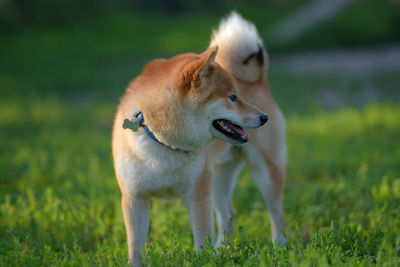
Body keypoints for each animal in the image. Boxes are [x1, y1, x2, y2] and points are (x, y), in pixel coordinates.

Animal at [112, 45, 268, 266]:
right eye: (232, 97)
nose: (264, 117)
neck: (163, 142)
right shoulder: (134, 198)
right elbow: (135, 248)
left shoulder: (198, 196)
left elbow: (202, 241)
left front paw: (206, 260)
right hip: (217, 180)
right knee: (228, 215)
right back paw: (222, 251)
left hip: (264, 172)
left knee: (276, 214)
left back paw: (279, 245)